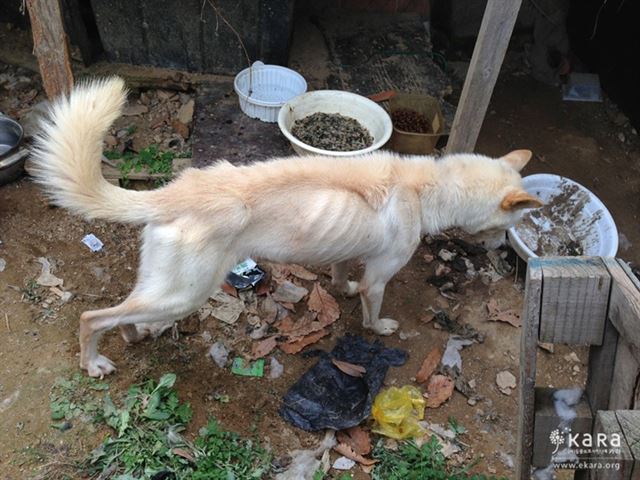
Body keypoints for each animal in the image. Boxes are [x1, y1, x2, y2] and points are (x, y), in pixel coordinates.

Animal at [30, 79, 540, 378]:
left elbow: (342, 275)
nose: (503, 250)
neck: (428, 186)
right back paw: (93, 361)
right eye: (514, 220)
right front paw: (380, 327)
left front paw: (342, 289)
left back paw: (133, 337)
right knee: (92, 317)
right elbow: (372, 310)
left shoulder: (346, 252)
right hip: (184, 294)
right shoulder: (381, 275)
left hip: (165, 288)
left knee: (125, 314)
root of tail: (177, 191)